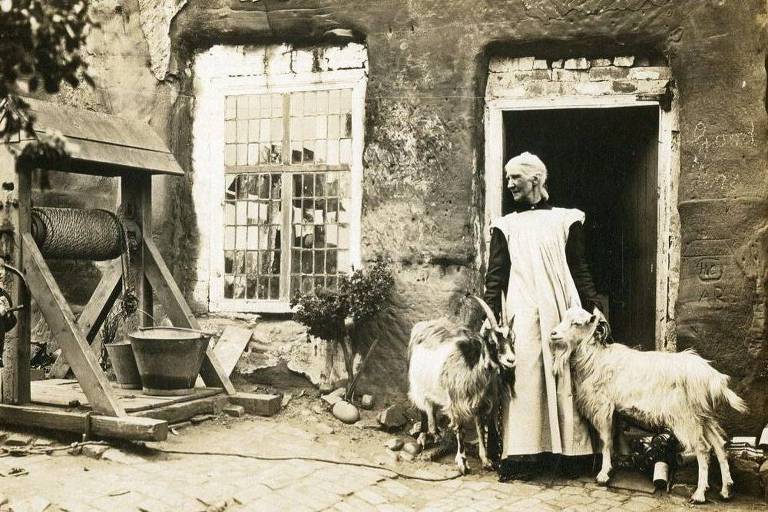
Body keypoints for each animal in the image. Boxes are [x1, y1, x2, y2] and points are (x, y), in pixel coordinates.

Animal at [408, 296, 516, 476]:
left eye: (512, 339)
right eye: (492, 341)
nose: (511, 360)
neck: (472, 365)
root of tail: (423, 325)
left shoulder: (480, 403)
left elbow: (480, 429)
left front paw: (486, 461)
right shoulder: (455, 402)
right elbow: (461, 430)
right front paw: (463, 463)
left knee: (432, 407)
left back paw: (436, 433)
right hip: (417, 384)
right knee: (423, 408)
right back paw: (424, 435)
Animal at [548, 308, 748, 504]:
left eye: (576, 323)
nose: (553, 333)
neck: (595, 358)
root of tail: (712, 378)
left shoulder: (603, 406)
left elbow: (606, 440)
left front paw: (604, 474)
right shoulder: (615, 411)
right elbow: (616, 436)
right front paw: (622, 460)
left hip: (686, 417)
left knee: (703, 448)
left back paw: (700, 494)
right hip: (702, 416)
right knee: (719, 445)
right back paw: (726, 490)